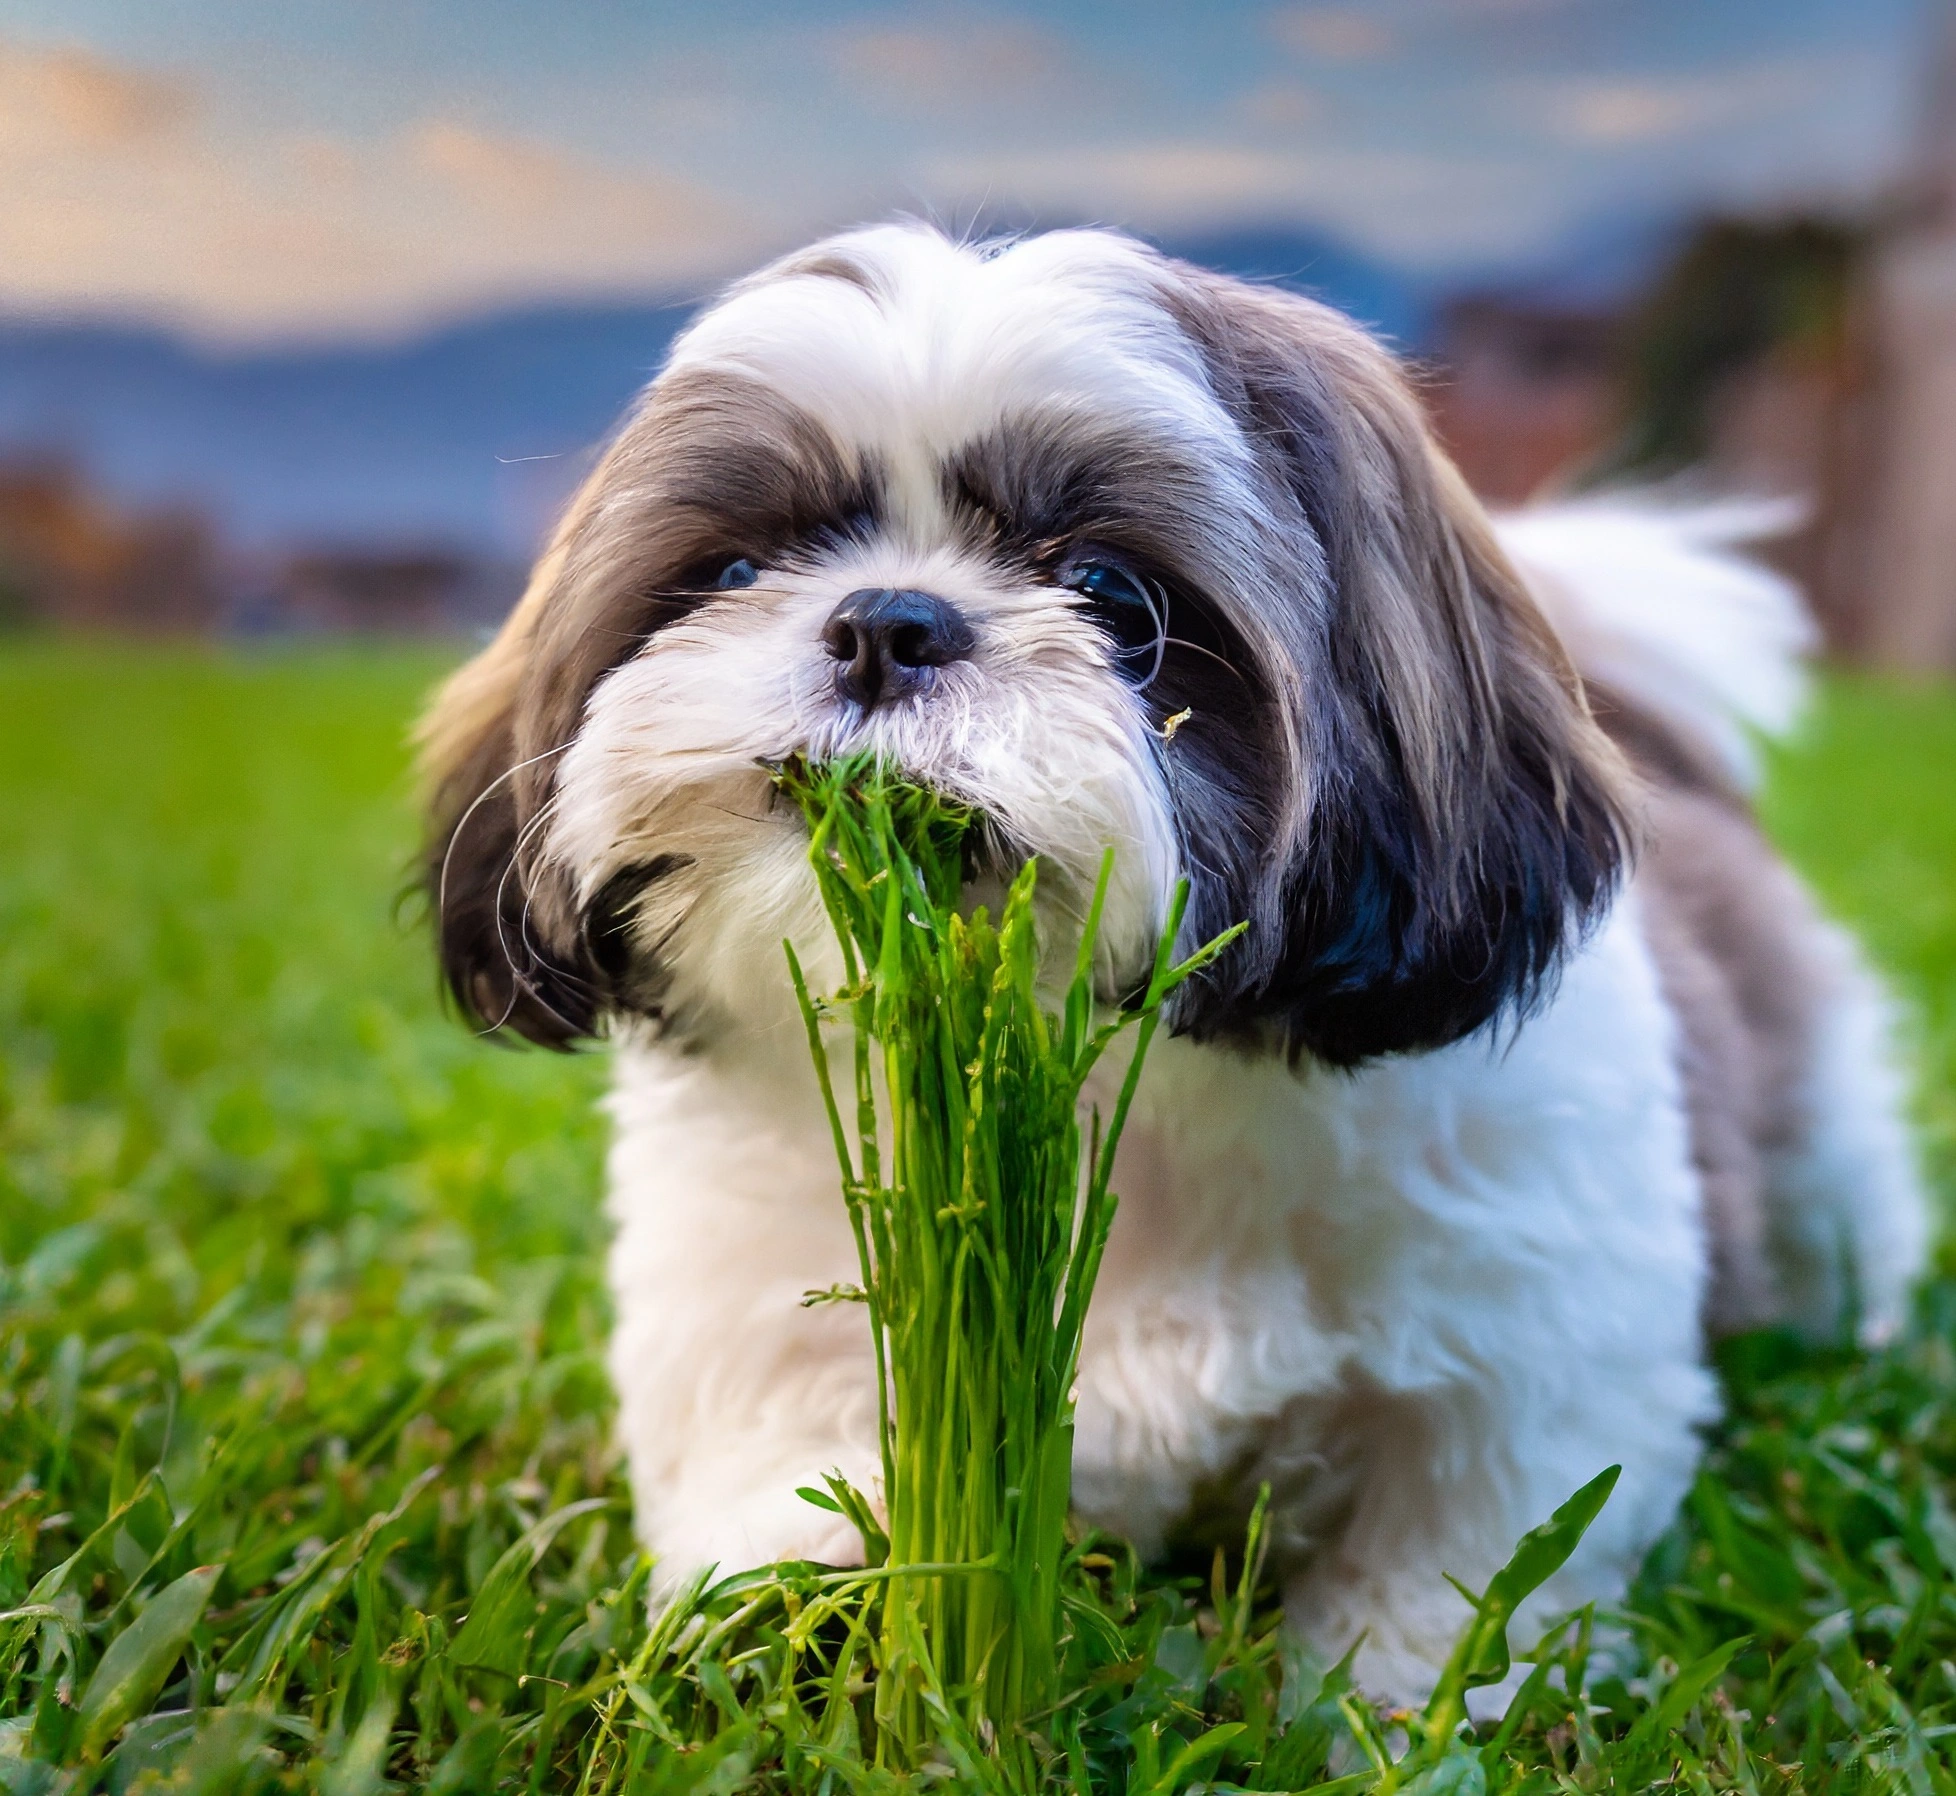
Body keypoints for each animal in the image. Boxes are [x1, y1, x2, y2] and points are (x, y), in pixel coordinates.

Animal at [412, 224, 1924, 1698]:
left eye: (1112, 596)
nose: (886, 620)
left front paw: (1373, 1716)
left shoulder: (1526, 1376)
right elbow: (794, 1486)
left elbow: (1447, 1587)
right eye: (732, 570)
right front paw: (817, 1621)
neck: (1099, 1092)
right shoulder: (761, 1320)